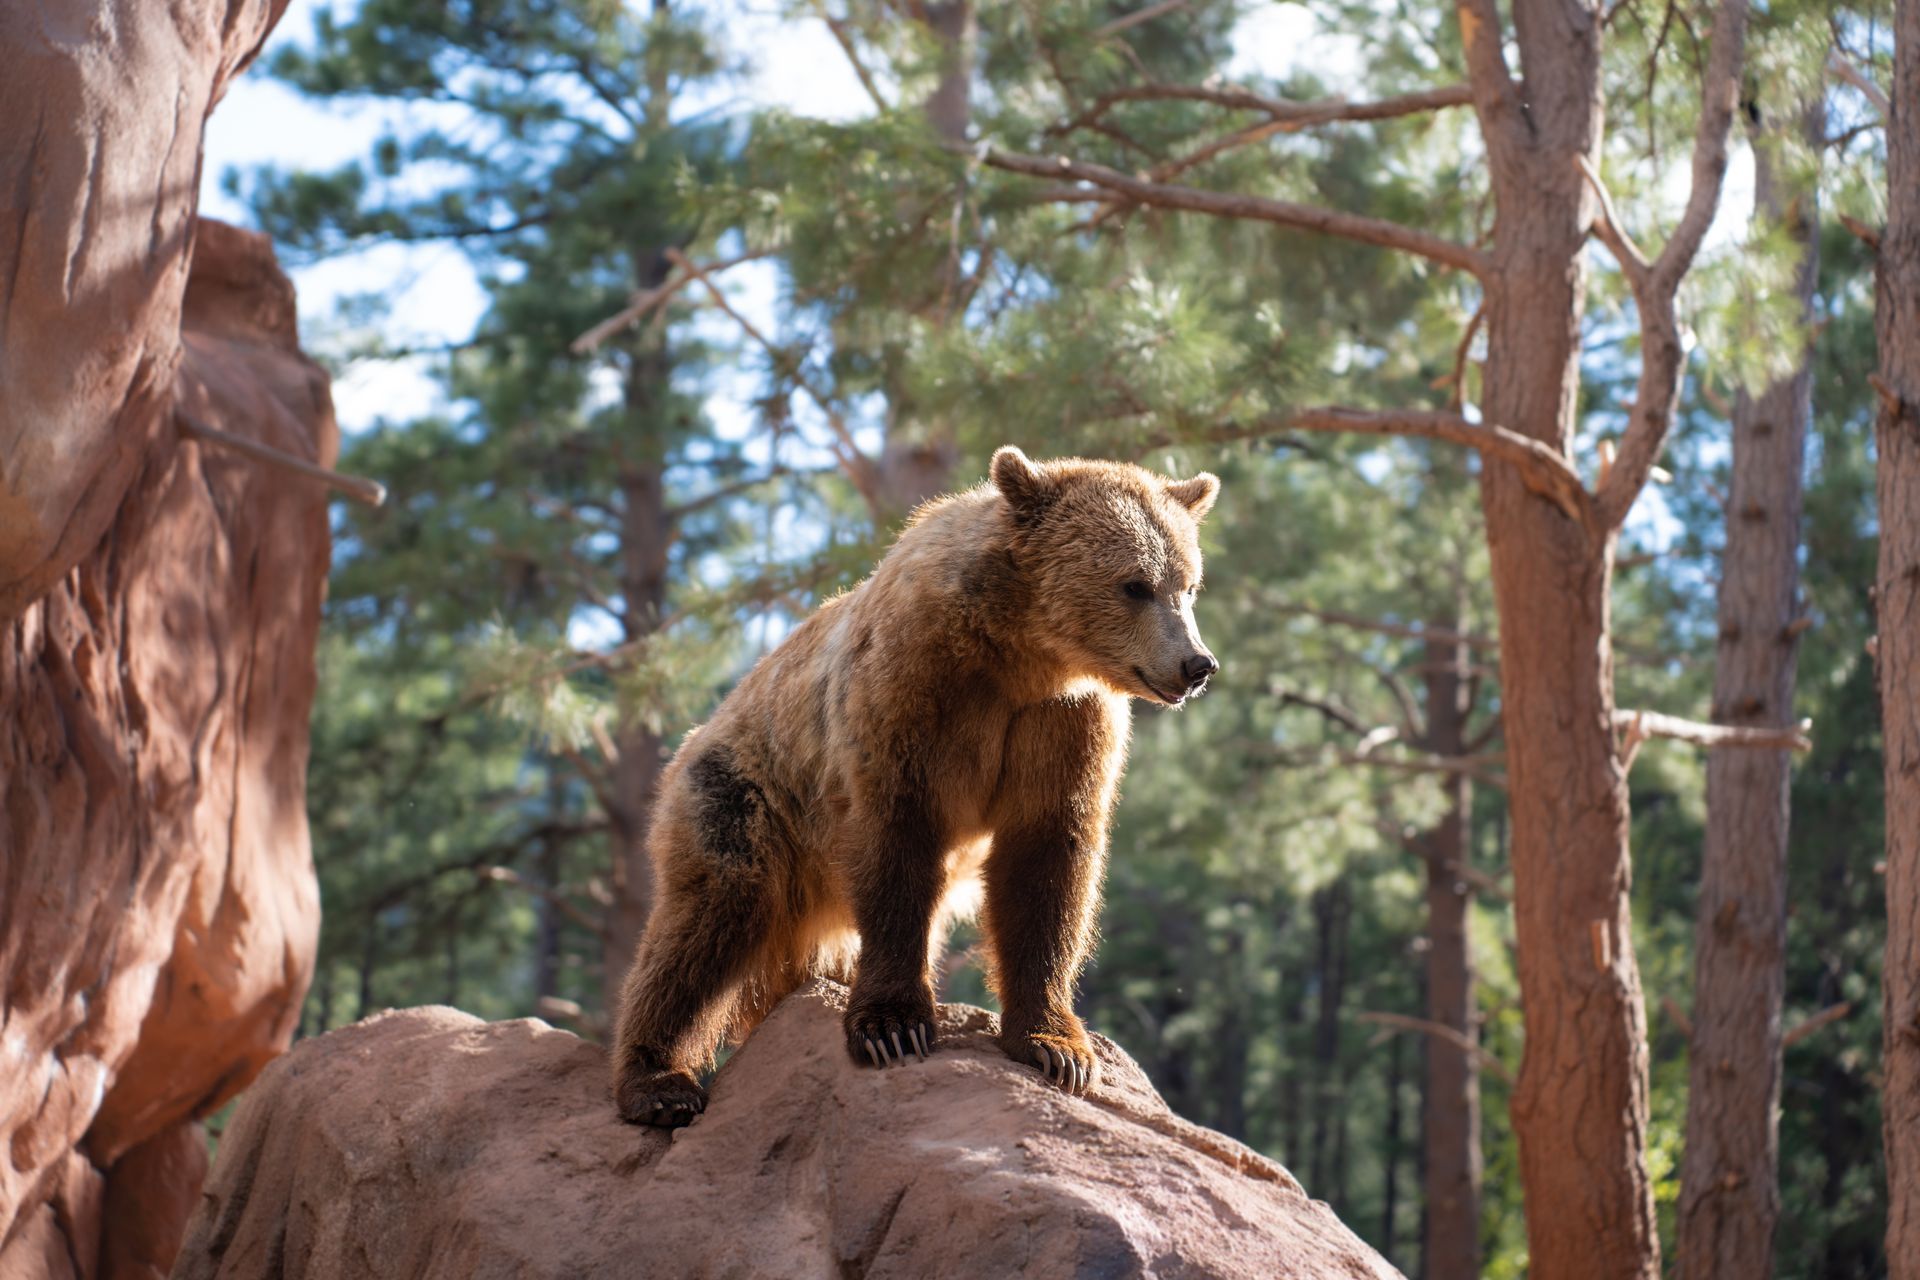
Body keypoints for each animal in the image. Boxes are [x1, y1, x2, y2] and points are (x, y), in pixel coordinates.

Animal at [610, 445, 1221, 1126]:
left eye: (1187, 584)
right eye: (1135, 584)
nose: (1197, 665)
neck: (1021, 653)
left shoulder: (1062, 724)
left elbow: (1047, 864)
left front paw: (1057, 1046)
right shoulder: (913, 693)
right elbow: (899, 845)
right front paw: (893, 1028)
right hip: (745, 796)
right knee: (710, 916)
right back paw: (659, 1083)